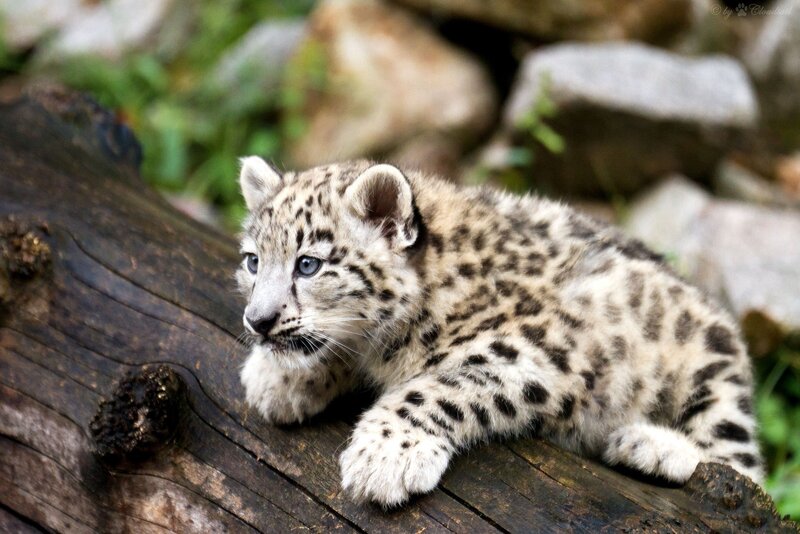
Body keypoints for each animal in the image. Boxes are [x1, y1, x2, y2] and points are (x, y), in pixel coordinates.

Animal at [236, 156, 763, 508]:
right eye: (253, 261)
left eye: (308, 264)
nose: (257, 321)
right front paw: (277, 380)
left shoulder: (544, 350)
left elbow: (440, 386)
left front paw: (385, 455)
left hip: (712, 369)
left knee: (740, 468)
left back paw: (651, 446)